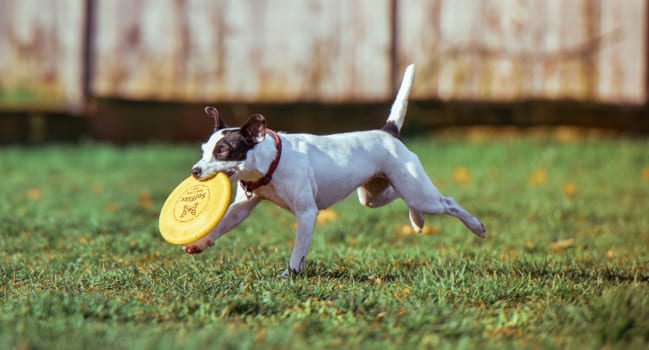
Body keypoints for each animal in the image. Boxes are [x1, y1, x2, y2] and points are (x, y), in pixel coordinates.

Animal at [185, 63, 484, 276]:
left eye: (223, 151)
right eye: (204, 149)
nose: (195, 171)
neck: (271, 163)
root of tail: (388, 132)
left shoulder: (307, 213)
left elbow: (298, 250)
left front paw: (290, 274)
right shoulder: (242, 207)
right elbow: (223, 223)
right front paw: (200, 242)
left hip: (419, 192)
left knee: (447, 202)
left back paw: (476, 226)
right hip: (374, 195)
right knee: (399, 196)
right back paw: (417, 220)